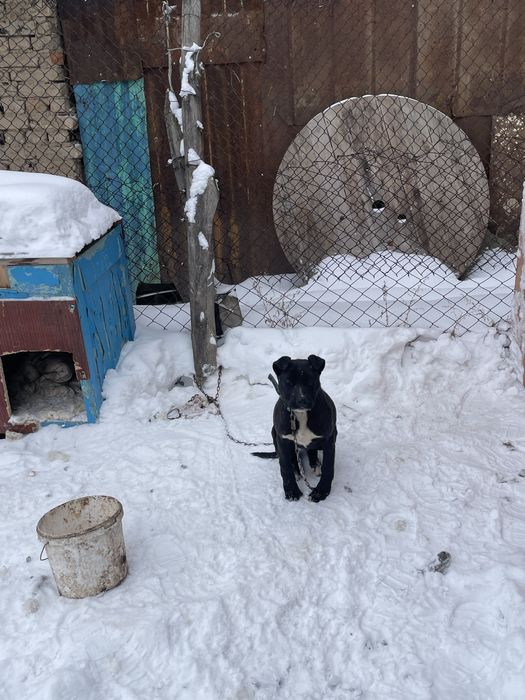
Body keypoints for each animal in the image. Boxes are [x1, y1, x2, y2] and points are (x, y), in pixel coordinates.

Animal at [253, 355, 337, 502]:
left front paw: (321, 491)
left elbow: (328, 467)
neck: (301, 414)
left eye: (310, 381)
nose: (301, 400)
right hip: (274, 432)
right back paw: (297, 471)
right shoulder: (283, 440)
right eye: (288, 382)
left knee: (312, 451)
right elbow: (285, 466)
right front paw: (292, 490)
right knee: (291, 458)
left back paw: (315, 464)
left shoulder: (329, 440)